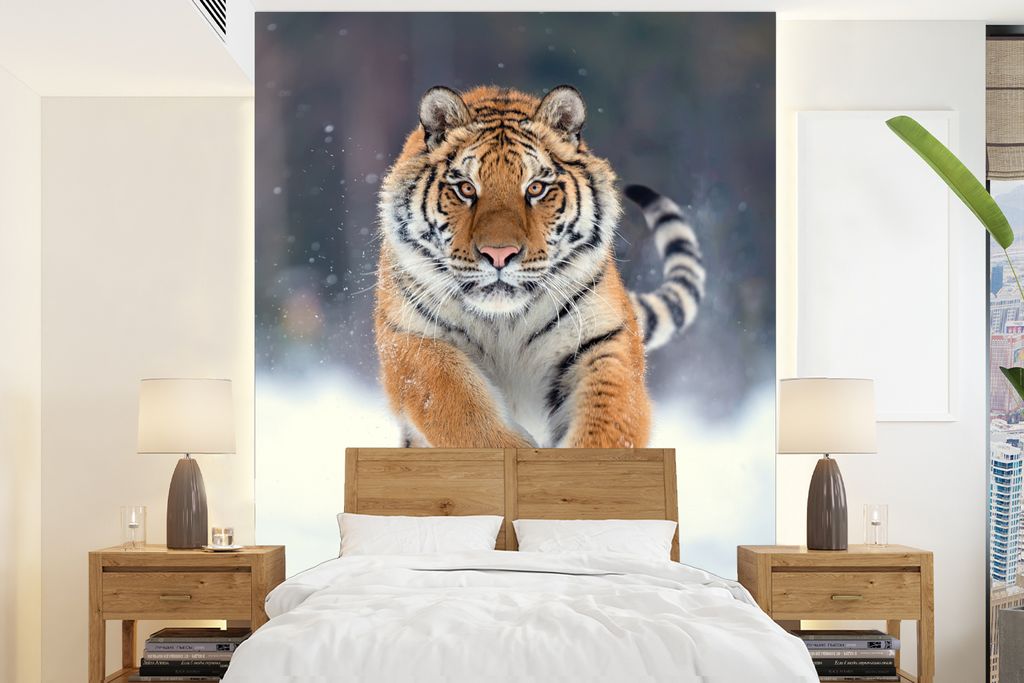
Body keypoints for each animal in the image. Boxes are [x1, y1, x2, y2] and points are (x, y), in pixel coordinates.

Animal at [374, 84, 704, 449]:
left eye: (535, 188)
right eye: (466, 189)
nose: (499, 254)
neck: (503, 321)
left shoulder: (602, 339)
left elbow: (609, 417)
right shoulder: (410, 339)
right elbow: (462, 410)